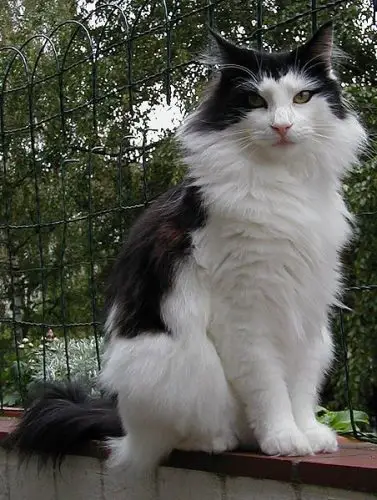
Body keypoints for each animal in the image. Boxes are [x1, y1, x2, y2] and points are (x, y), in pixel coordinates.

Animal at [4, 20, 366, 472]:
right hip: (172, 362)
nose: (282, 126)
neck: (283, 186)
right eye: (255, 100)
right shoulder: (245, 312)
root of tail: (124, 426)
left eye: (302, 97)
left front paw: (307, 434)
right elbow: (268, 386)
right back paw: (220, 441)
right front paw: (283, 438)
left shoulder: (303, 309)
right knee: (174, 439)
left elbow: (299, 386)